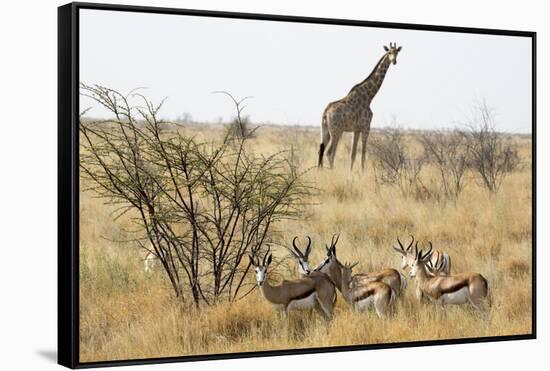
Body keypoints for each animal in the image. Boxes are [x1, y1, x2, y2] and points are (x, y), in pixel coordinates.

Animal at [316, 42, 404, 171]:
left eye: (397, 52)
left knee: (321, 151)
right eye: (389, 52)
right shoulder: (366, 127)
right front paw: (361, 173)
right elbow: (363, 154)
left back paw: (320, 172)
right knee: (330, 153)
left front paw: (350, 173)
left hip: (325, 130)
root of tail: (325, 113)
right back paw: (331, 172)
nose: (394, 61)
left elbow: (352, 155)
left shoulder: (356, 130)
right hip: (337, 131)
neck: (369, 98)